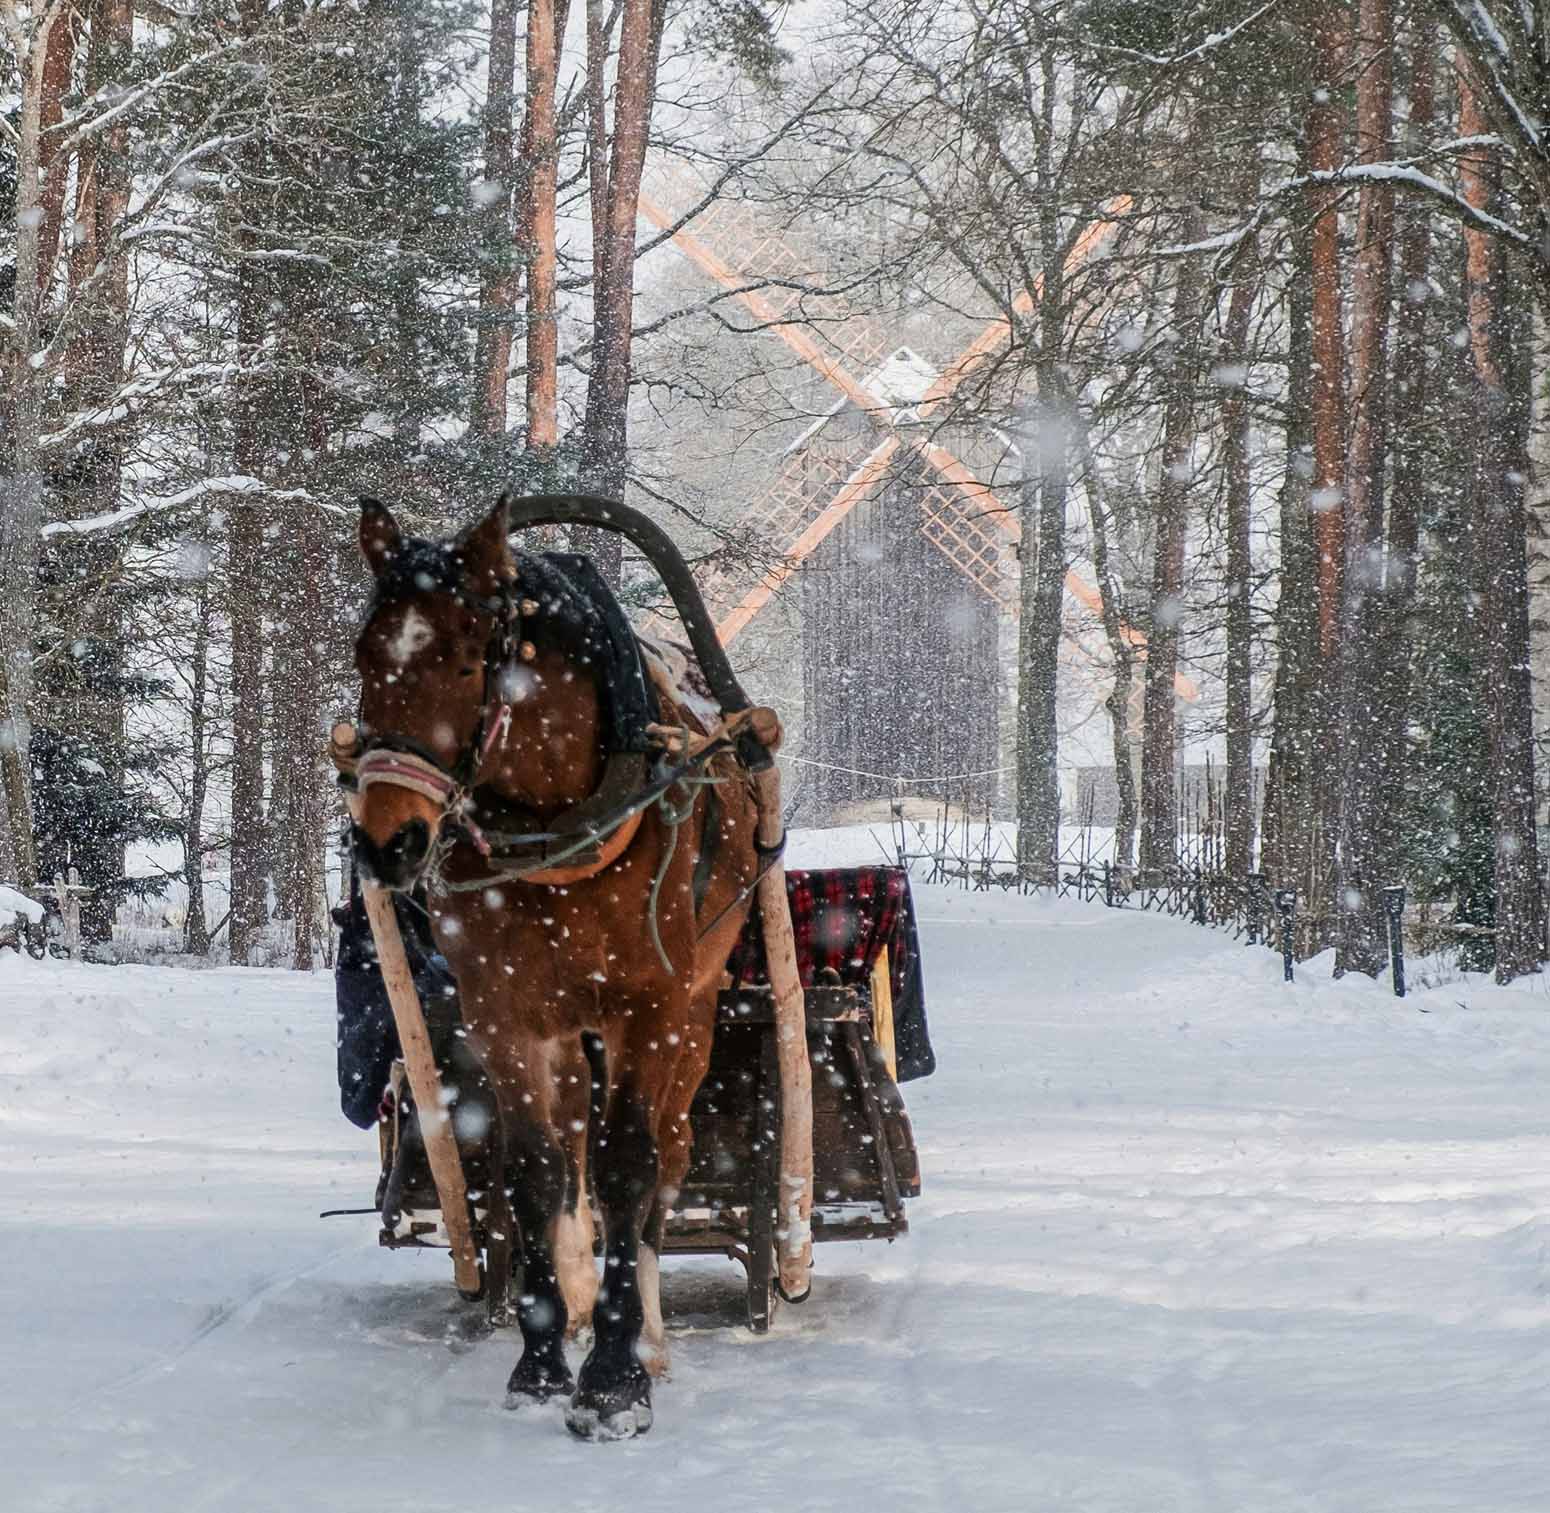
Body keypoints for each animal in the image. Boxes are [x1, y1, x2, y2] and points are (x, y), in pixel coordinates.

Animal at [353, 489, 762, 1438]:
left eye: (467, 660)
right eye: (363, 653)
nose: (387, 841)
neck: (553, 827)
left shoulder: (649, 1008)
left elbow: (626, 1167)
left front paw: (614, 1378)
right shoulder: (503, 1012)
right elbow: (534, 1170)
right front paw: (541, 1358)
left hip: (694, 1017)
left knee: (666, 1159)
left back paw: (649, 1331)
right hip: (569, 1029)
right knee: (574, 1142)